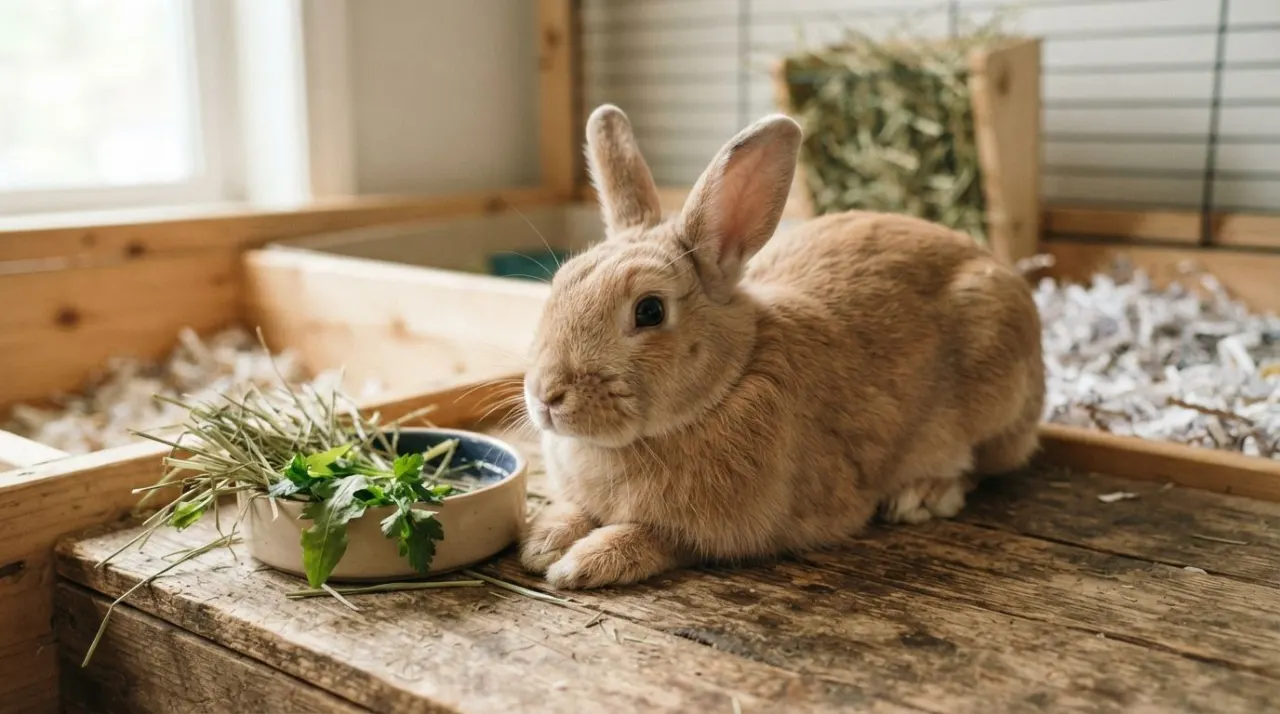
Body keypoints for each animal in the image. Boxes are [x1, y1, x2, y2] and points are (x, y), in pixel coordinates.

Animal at [518, 104, 1045, 590]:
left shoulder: (712, 533)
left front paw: (580, 565)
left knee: (983, 465)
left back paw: (924, 494)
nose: (546, 397)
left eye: (650, 311)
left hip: (996, 399)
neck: (726, 386)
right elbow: (575, 512)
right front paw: (543, 542)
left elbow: (653, 539)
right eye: (560, 284)